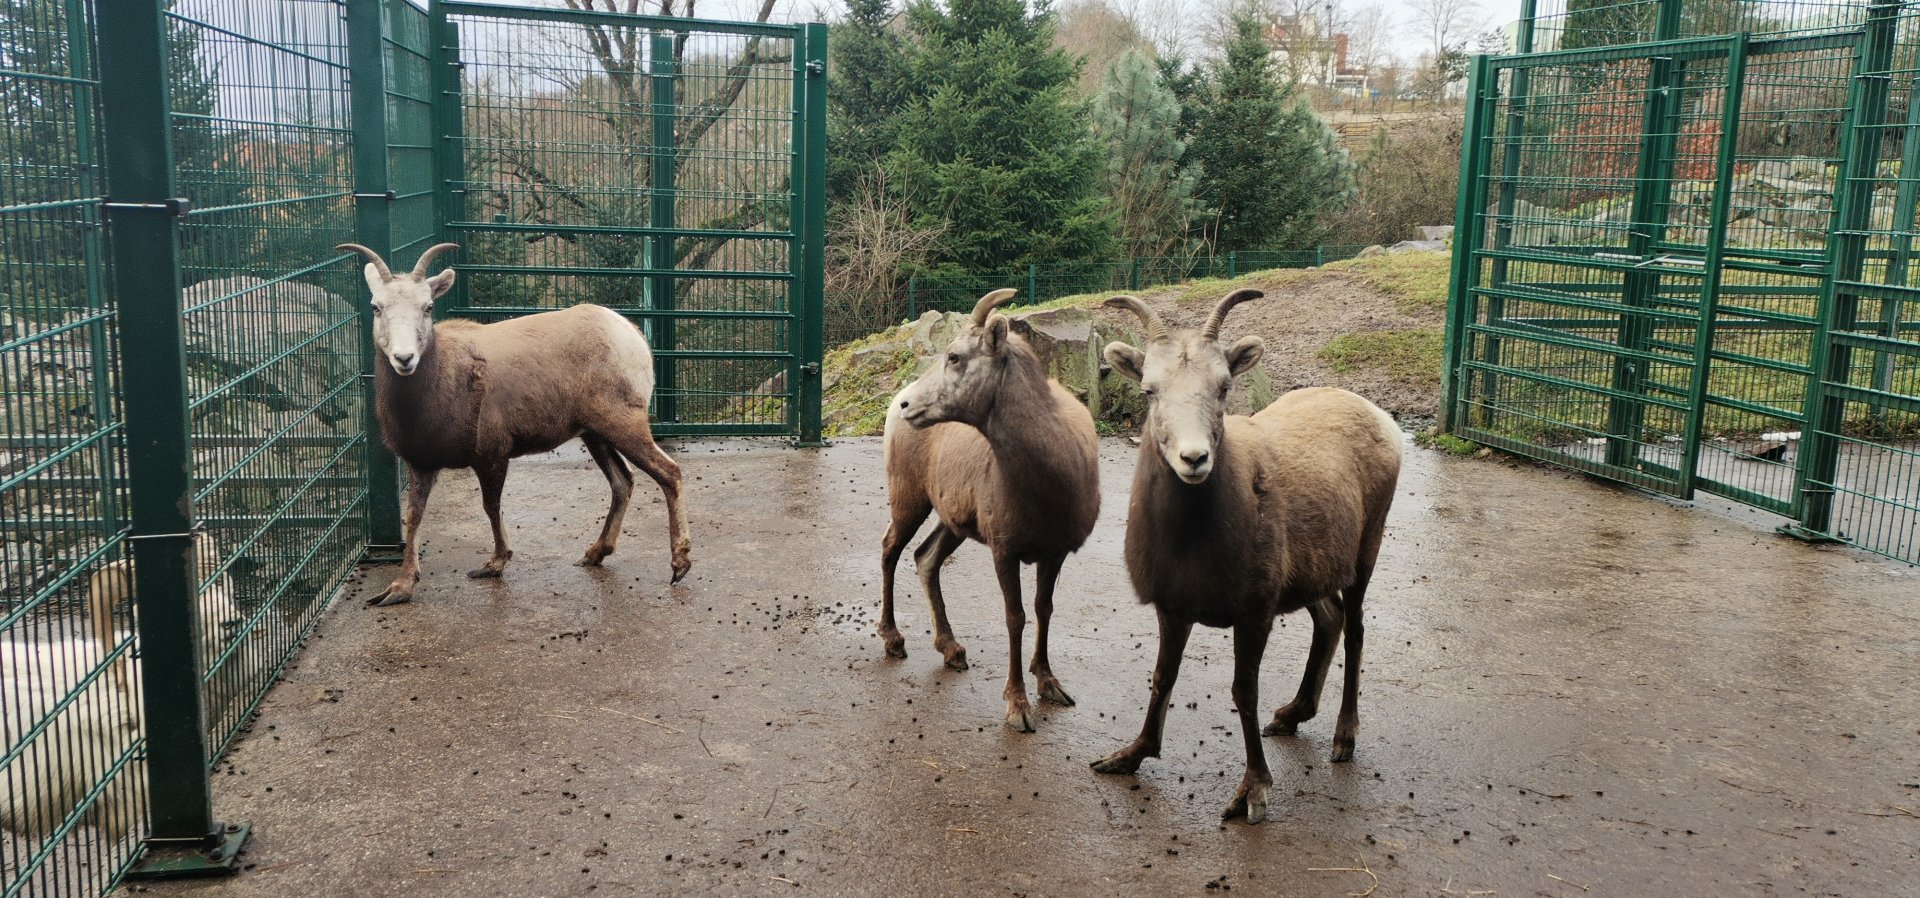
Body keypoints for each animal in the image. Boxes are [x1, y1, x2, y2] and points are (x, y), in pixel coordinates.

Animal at [338, 243, 690, 606]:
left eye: (428, 306)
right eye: (376, 306)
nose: (404, 359)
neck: (446, 375)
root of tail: (631, 335)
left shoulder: (491, 454)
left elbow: (491, 506)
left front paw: (494, 563)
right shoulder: (421, 462)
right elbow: (414, 516)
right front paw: (399, 588)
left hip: (624, 424)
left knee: (669, 472)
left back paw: (679, 564)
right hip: (595, 434)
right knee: (623, 482)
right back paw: (594, 553)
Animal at [879, 288, 1101, 732]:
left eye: (955, 356)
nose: (909, 404)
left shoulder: (1055, 552)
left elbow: (1043, 609)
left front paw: (1050, 684)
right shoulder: (1005, 550)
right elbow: (1015, 617)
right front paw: (1018, 708)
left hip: (953, 524)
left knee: (925, 558)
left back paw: (952, 650)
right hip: (909, 499)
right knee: (890, 550)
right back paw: (893, 640)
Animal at [1089, 289, 1403, 824]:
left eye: (1223, 387)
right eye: (1149, 389)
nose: (1194, 459)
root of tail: (1377, 415)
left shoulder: (1253, 612)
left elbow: (1244, 692)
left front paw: (1252, 793)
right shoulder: (1174, 607)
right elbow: (1163, 677)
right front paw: (1128, 756)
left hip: (1366, 554)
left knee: (1357, 628)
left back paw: (1344, 738)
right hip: (1313, 574)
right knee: (1331, 618)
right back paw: (1293, 715)